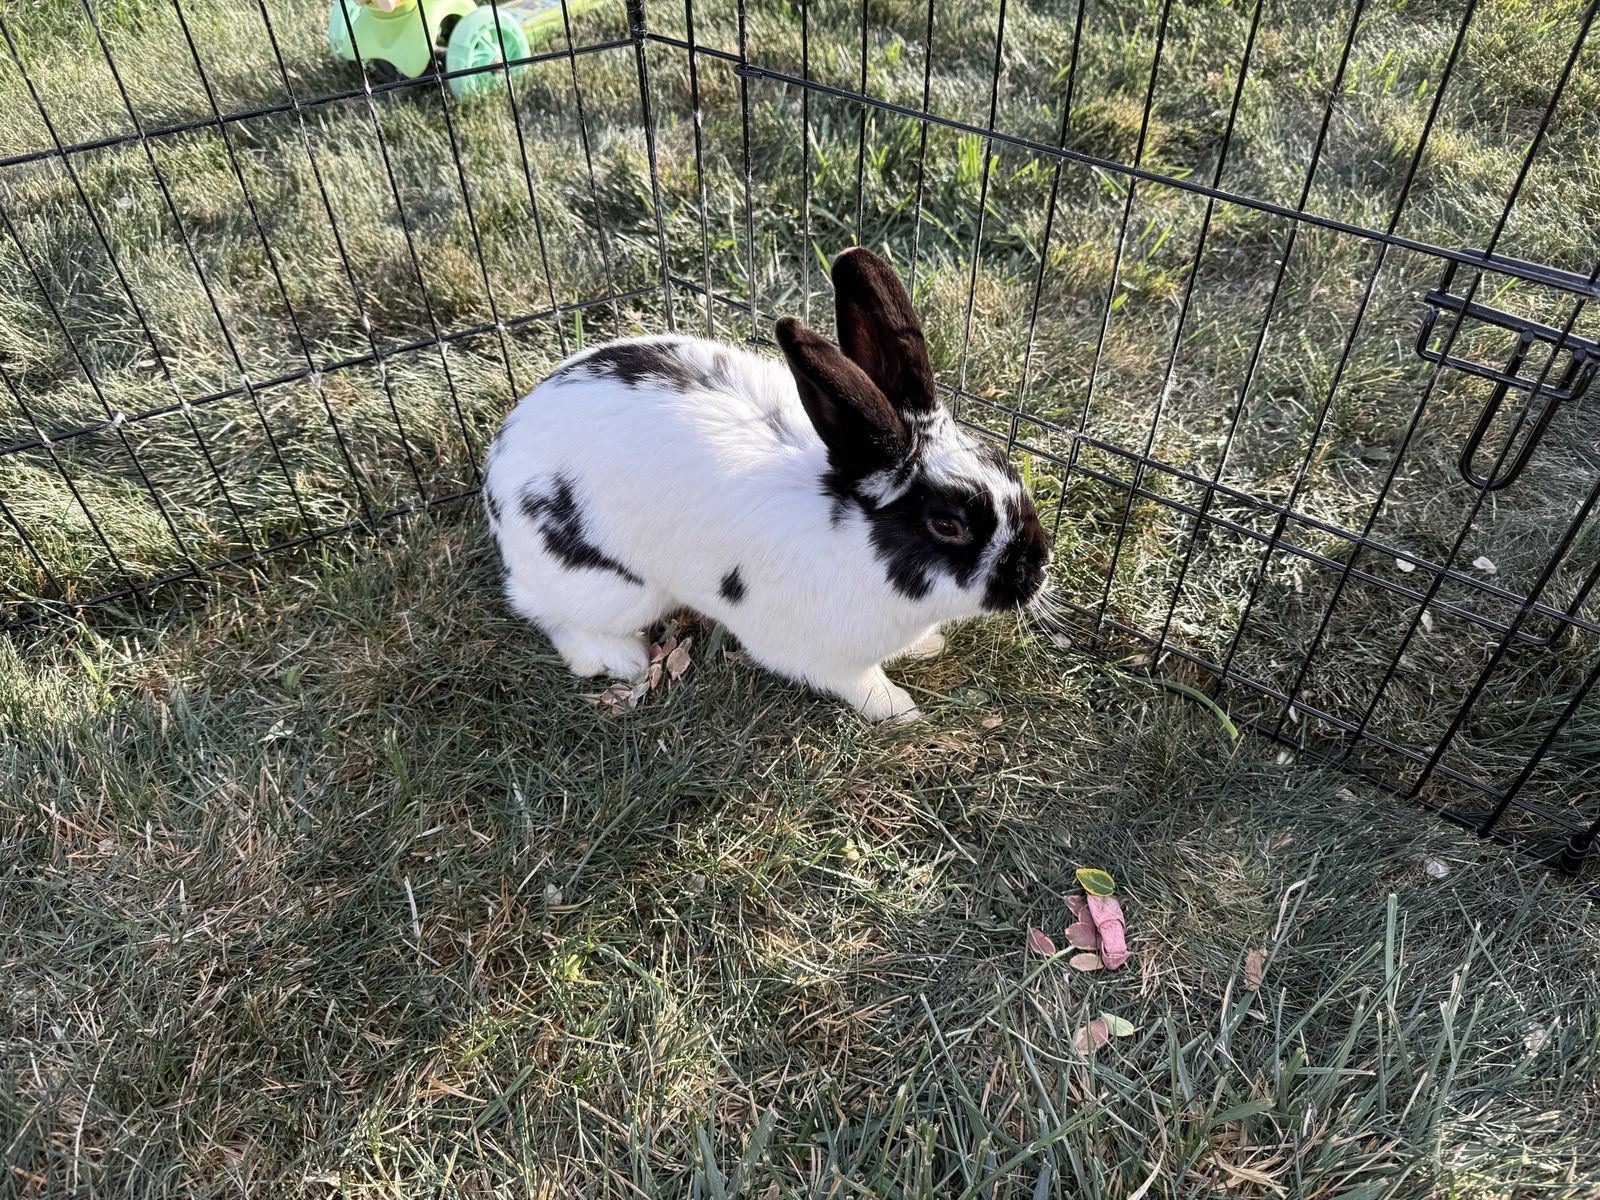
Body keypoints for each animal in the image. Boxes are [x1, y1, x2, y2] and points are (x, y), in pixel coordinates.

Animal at [482, 246, 1052, 721]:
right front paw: (900, 712)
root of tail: (498, 467)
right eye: (948, 525)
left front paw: (927, 648)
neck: (852, 548)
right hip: (614, 589)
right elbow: (862, 684)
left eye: (1004, 464)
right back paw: (622, 658)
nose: (1038, 567)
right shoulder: (823, 657)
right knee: (546, 614)